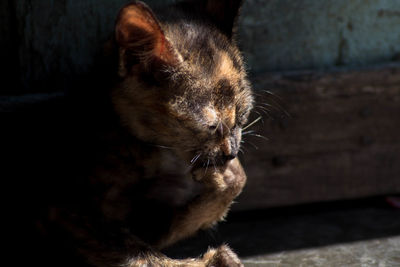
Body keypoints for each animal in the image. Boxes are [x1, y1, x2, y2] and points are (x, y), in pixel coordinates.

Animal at [7, 0, 253, 267]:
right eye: (211, 126)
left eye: (242, 116)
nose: (231, 152)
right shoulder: (59, 209)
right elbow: (138, 252)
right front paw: (212, 259)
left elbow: (237, 180)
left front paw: (222, 175)